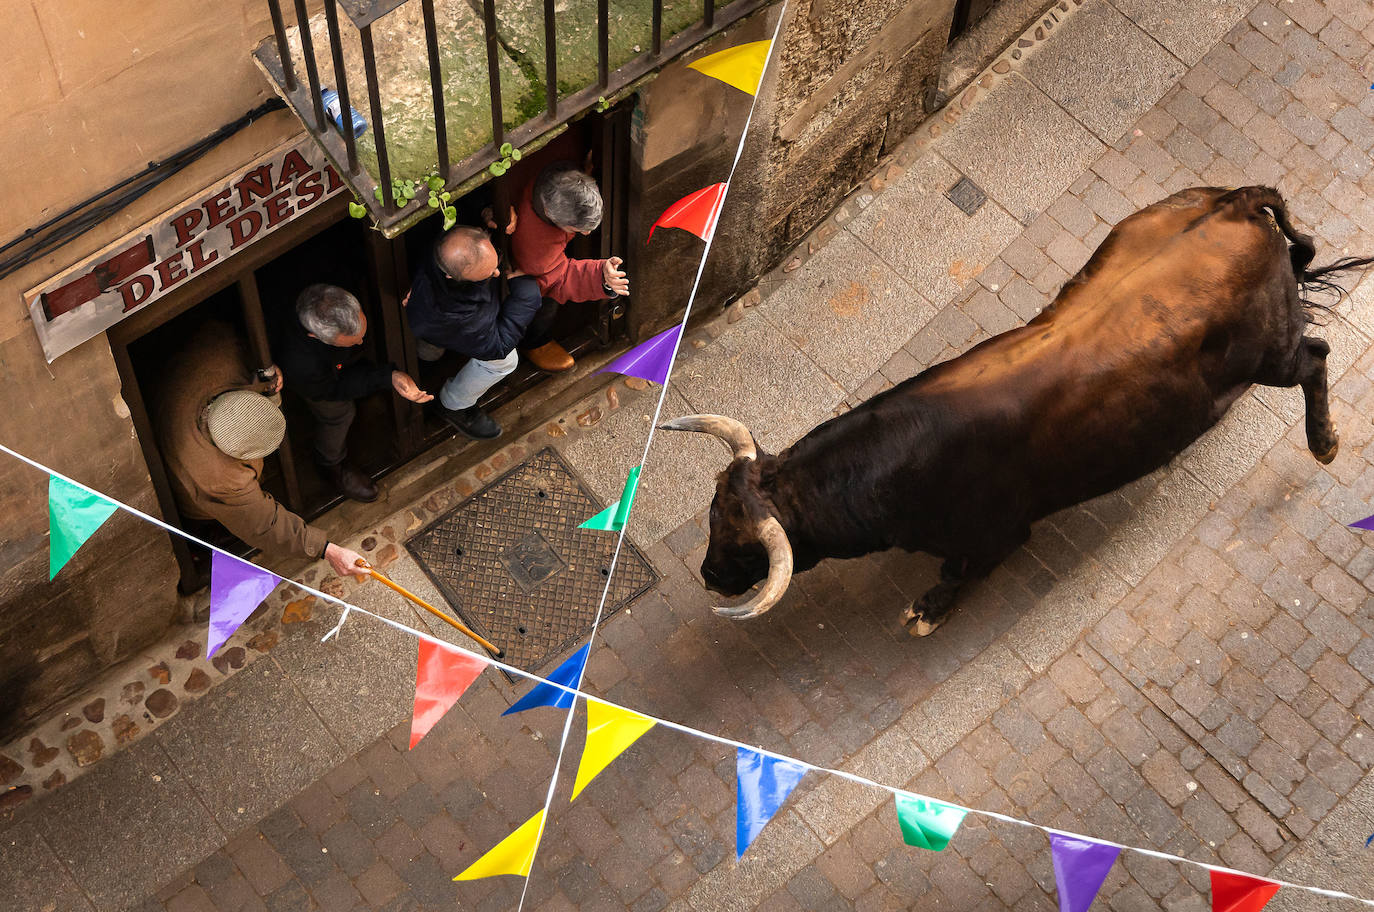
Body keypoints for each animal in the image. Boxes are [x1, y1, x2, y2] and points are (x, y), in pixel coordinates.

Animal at [659, 186, 1368, 634]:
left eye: (745, 547)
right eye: (713, 513)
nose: (710, 575)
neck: (895, 462)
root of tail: (1235, 200)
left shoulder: (996, 537)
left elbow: (958, 575)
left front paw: (926, 612)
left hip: (1268, 356)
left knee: (1316, 357)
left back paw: (1325, 441)